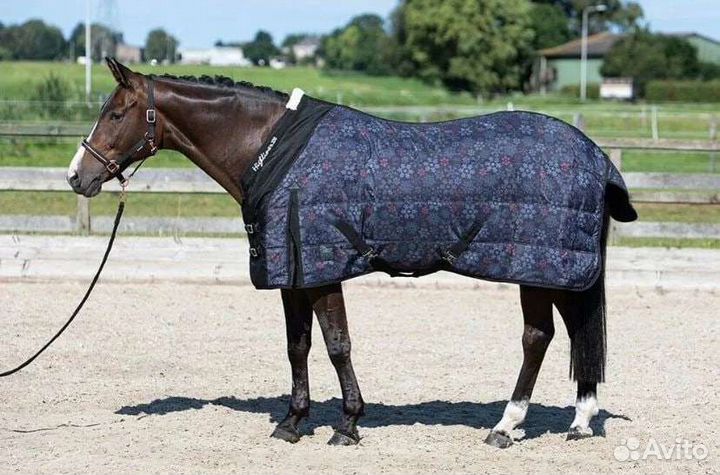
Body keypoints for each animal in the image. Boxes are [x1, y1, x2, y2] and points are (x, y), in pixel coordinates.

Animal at [67, 58, 636, 447]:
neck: (272, 150)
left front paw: (347, 424)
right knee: (577, 331)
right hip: (562, 271)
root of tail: (596, 157)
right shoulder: (294, 272)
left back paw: (506, 425)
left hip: (537, 269)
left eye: (116, 113)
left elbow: (337, 344)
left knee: (537, 338)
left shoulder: (323, 269)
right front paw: (293, 422)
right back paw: (580, 422)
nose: (77, 176)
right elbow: (298, 347)